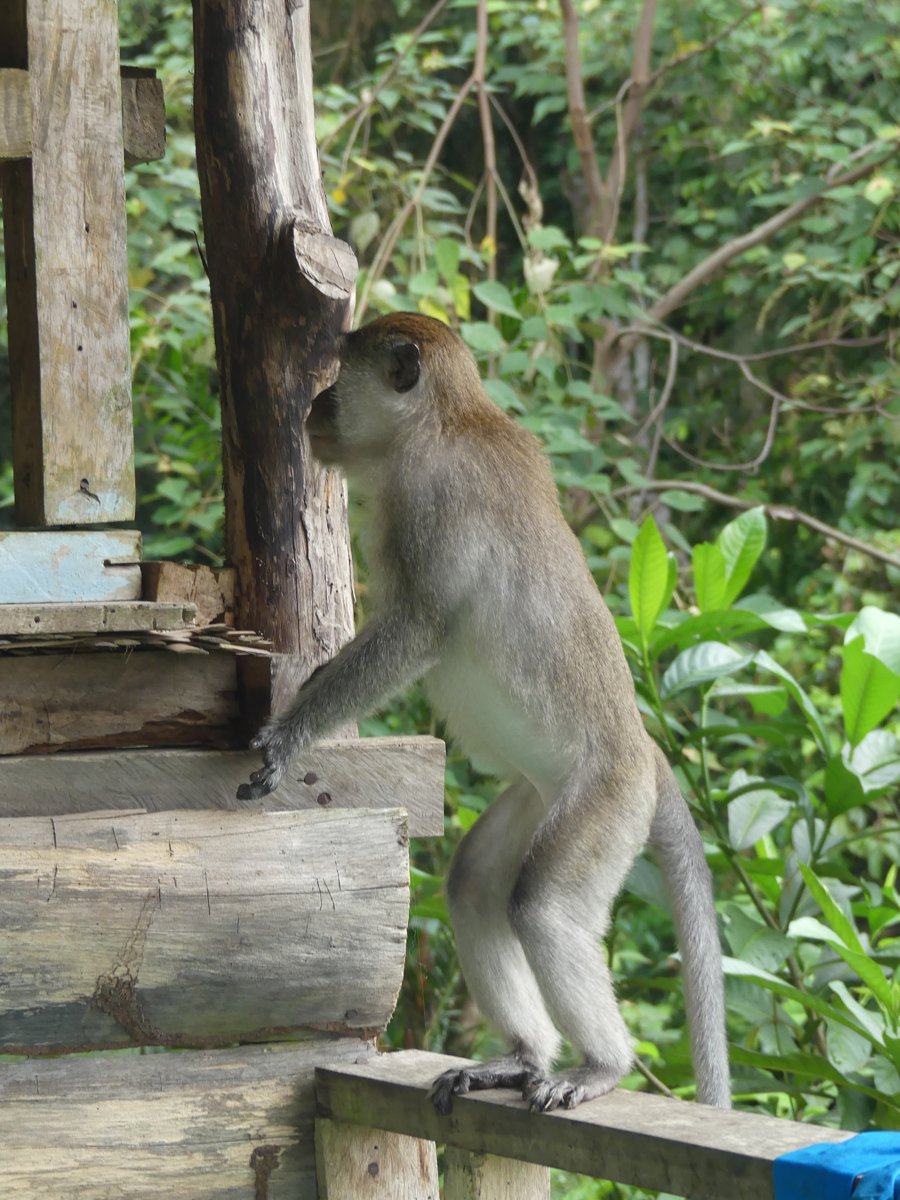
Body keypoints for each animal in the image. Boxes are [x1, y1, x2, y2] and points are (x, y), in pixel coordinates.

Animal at [238, 312, 730, 1114]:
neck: (447, 420)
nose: (314, 409)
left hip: (606, 800)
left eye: (338, 380)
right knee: (473, 882)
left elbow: (419, 629)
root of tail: (643, 747)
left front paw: (291, 734)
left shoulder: (433, 497)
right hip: (541, 794)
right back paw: (524, 1057)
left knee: (543, 905)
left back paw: (601, 1065)